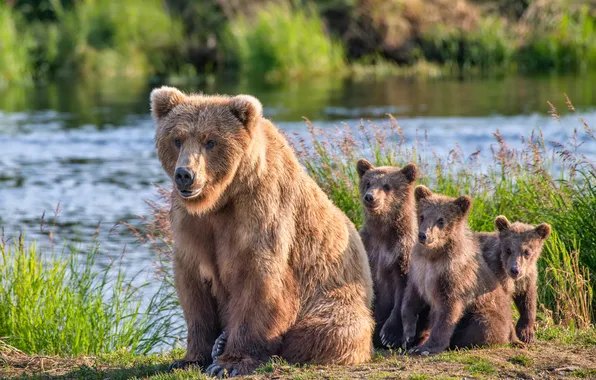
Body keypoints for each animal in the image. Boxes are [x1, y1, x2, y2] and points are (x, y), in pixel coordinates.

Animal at [150, 87, 372, 378]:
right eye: (177, 139)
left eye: (210, 141)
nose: (185, 175)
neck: (221, 199)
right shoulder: (193, 226)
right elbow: (193, 287)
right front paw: (190, 358)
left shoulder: (260, 213)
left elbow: (259, 281)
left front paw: (230, 362)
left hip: (336, 293)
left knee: (326, 330)